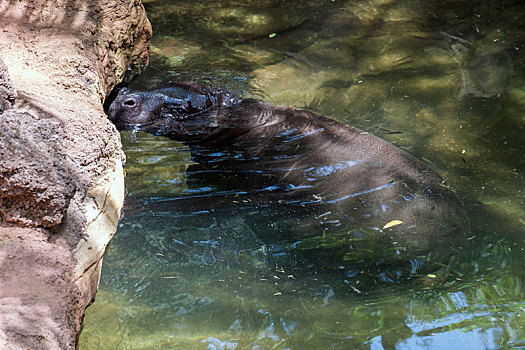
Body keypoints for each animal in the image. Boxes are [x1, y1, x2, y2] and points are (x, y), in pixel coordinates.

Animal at [106, 81, 466, 262]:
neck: (244, 121)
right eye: (162, 80)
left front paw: (132, 206)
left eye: (179, 108)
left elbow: (185, 204)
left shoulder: (249, 191)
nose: (124, 96)